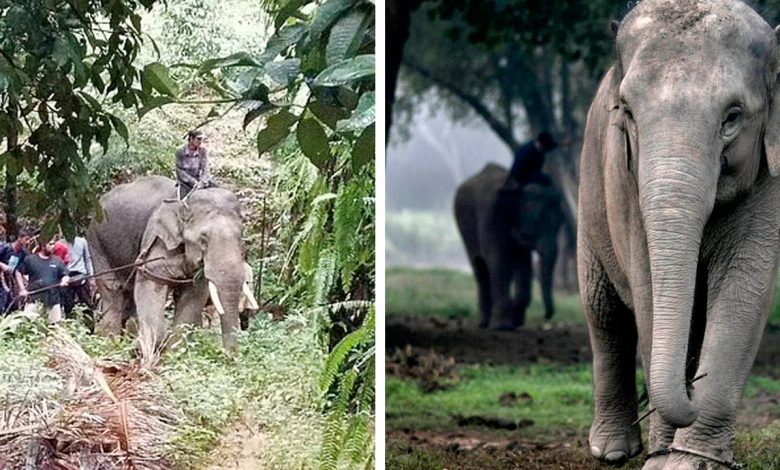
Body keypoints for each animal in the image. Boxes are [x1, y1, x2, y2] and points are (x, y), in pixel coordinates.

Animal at [86, 174, 256, 362]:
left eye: (241, 236)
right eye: (203, 239)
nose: (230, 356)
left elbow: (193, 297)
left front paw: (174, 355)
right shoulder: (156, 240)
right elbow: (150, 283)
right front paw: (152, 349)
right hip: (96, 242)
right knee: (112, 292)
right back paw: (110, 344)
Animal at [454, 163, 564, 328]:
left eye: (561, 222)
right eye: (535, 221)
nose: (546, 316)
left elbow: (523, 264)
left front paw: (516, 322)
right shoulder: (491, 216)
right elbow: (497, 259)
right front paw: (502, 326)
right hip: (465, 228)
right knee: (480, 268)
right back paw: (484, 323)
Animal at [580, 1, 780, 468]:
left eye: (733, 117)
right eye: (627, 112)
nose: (692, 390)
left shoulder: (771, 176)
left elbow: (745, 287)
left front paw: (687, 459)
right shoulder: (624, 179)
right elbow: (649, 289)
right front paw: (661, 457)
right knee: (604, 313)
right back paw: (612, 451)